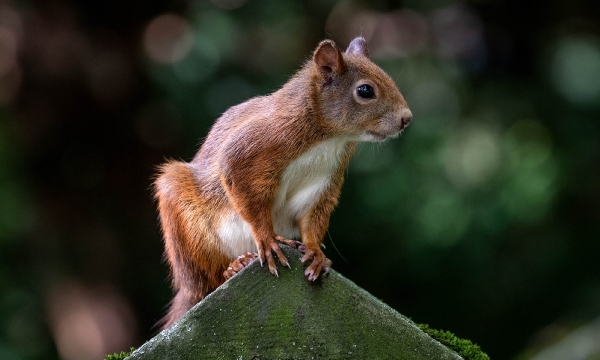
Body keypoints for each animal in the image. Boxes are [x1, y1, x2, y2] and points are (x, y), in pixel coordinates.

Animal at [154, 36, 412, 330]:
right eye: (366, 91)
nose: (407, 119)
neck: (331, 138)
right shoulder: (252, 148)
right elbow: (244, 191)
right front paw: (266, 238)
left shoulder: (323, 183)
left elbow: (312, 218)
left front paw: (315, 252)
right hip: (188, 233)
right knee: (205, 280)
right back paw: (233, 267)